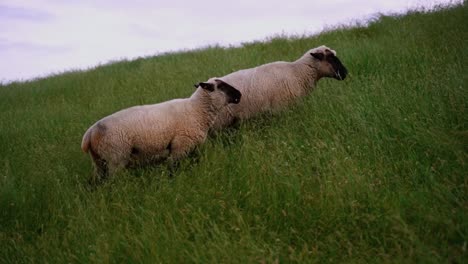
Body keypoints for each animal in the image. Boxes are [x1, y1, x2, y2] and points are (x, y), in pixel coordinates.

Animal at [81, 78, 241, 183]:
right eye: (221, 86)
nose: (239, 94)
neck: (196, 110)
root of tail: (90, 132)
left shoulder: (193, 147)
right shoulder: (180, 146)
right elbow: (173, 168)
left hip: (99, 161)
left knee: (96, 181)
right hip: (116, 157)